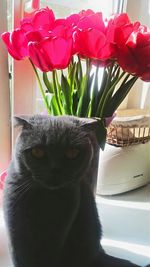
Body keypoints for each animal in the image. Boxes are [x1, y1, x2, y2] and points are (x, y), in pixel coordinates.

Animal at [2, 115, 149, 267]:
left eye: (72, 153)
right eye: (38, 152)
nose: (55, 169)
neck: (46, 200)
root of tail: (98, 253)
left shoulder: (59, 231)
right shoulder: (16, 229)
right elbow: (21, 256)